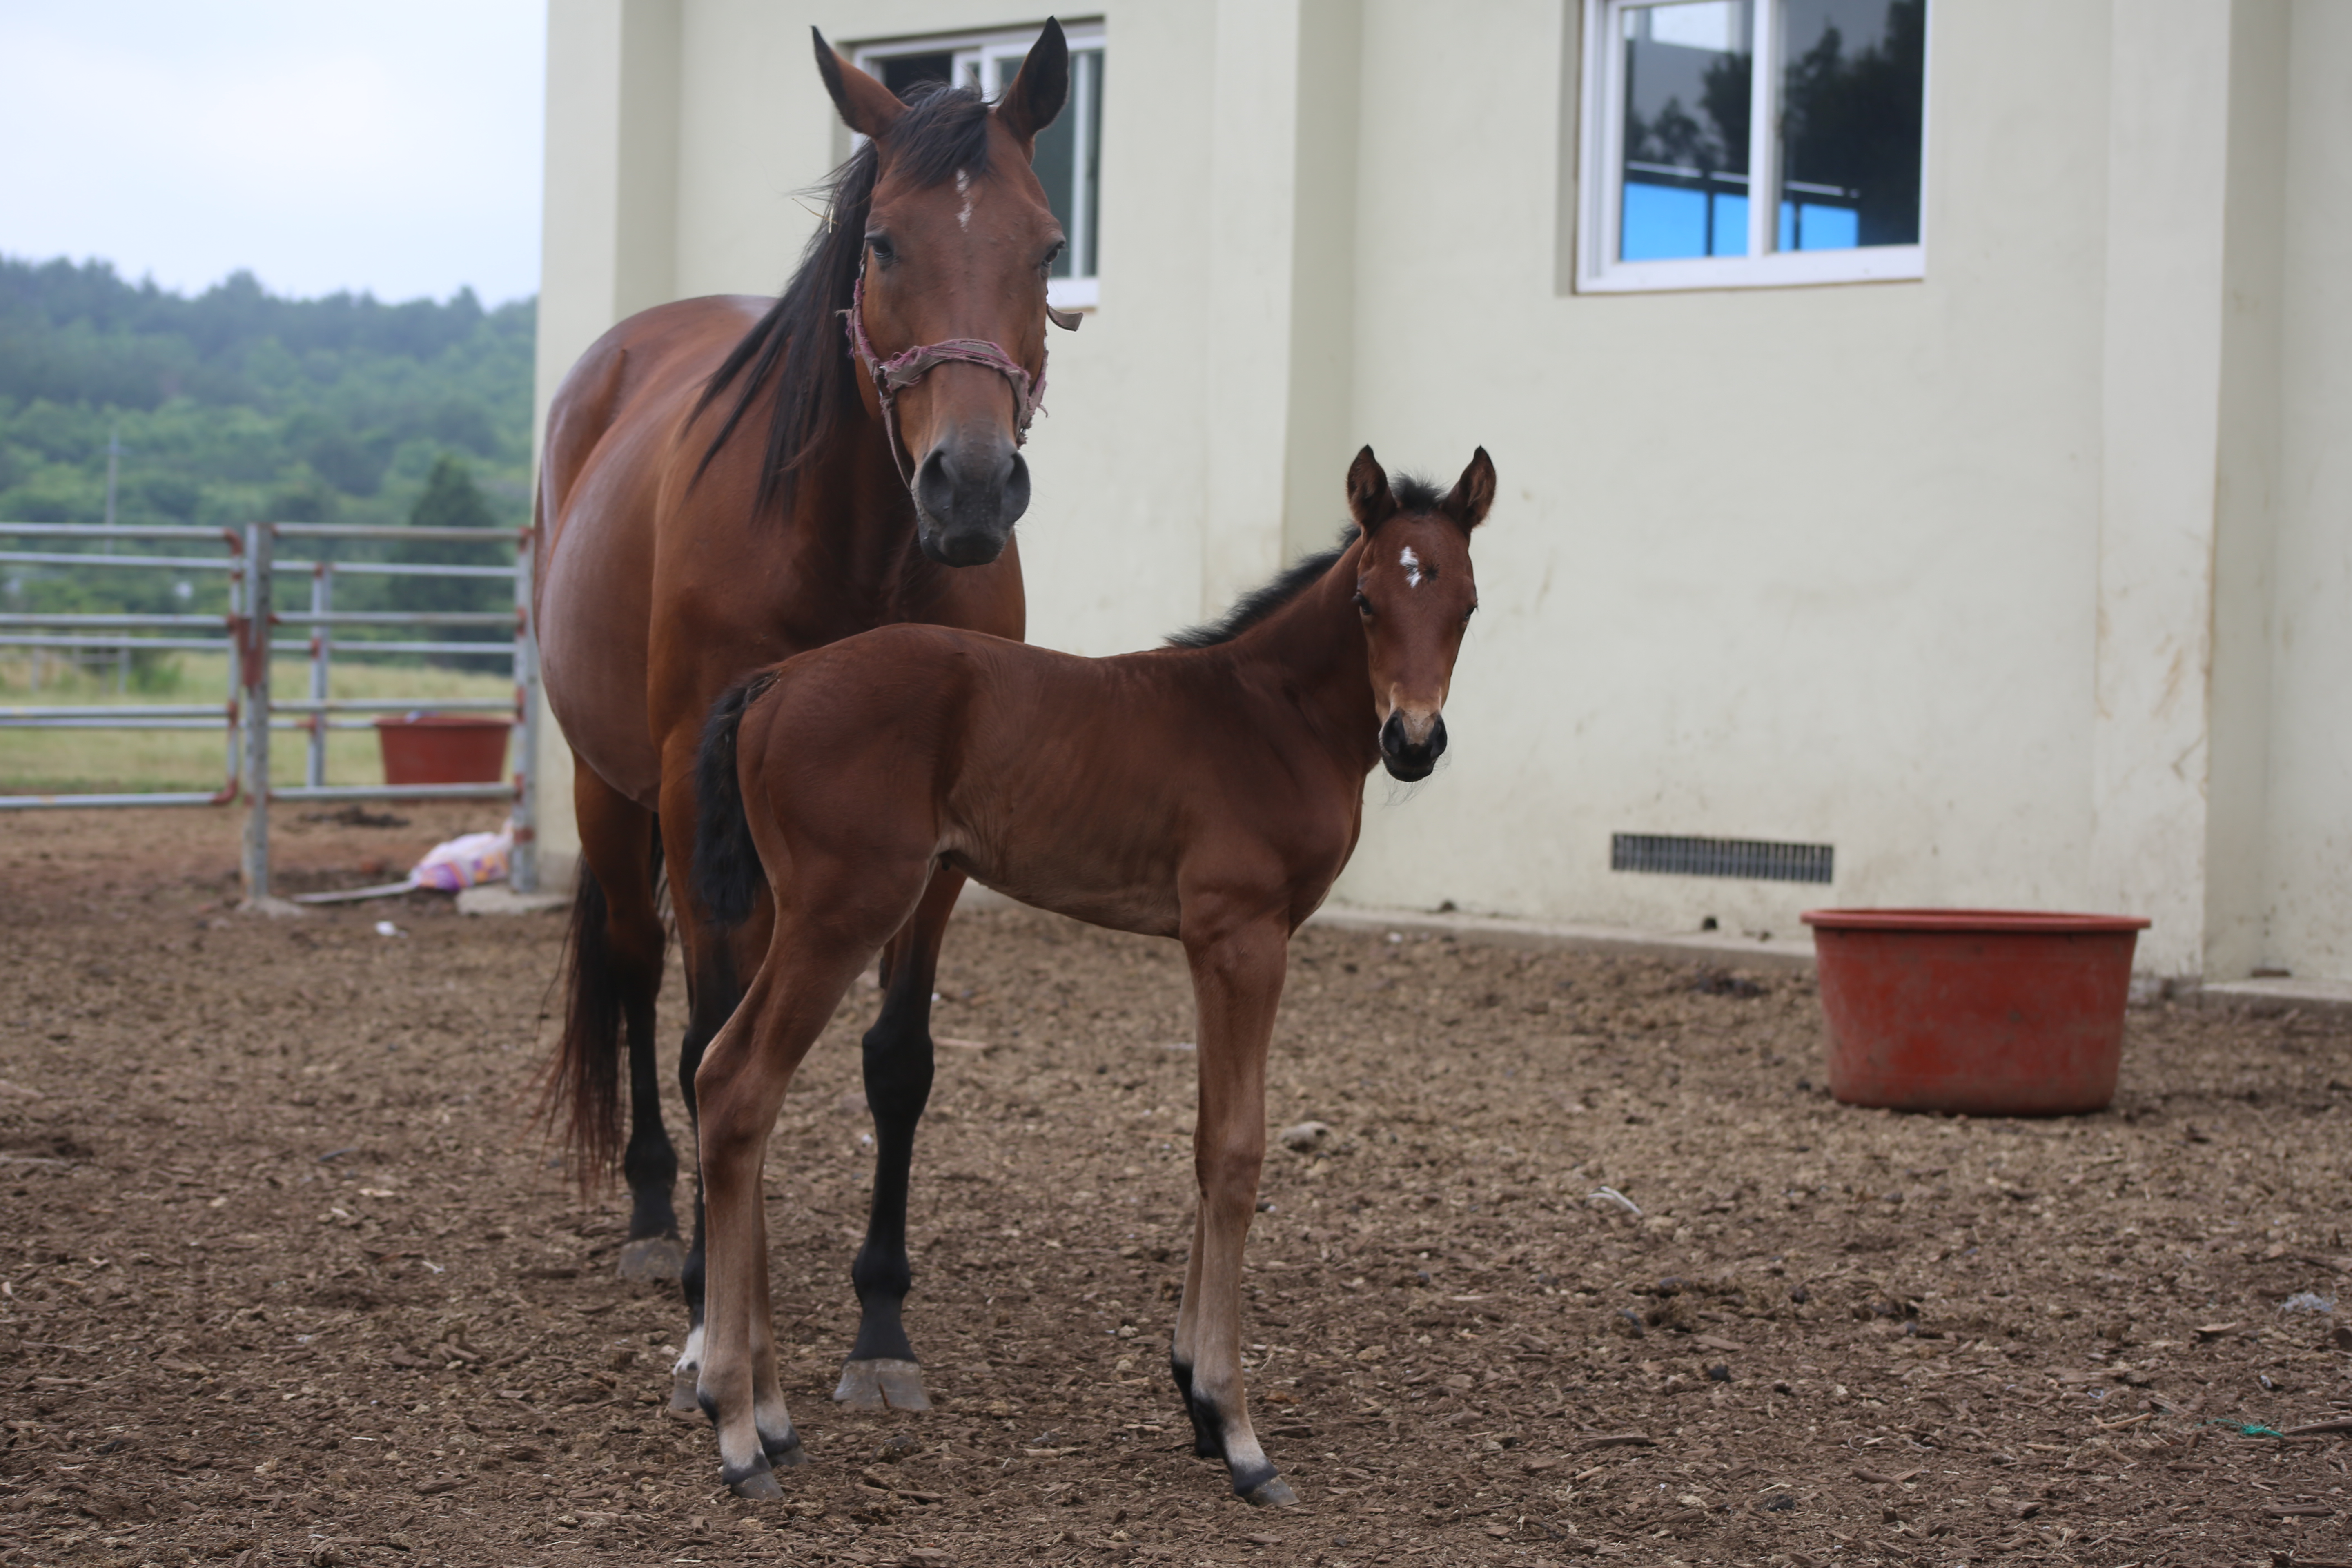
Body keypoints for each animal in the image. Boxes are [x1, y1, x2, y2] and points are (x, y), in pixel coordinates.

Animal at [534, 18, 1077, 1420]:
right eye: (882, 242)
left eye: (1049, 245)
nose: (972, 487)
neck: (850, 549)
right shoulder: (690, 793)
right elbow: (704, 1037)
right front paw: (705, 1321)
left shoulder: (940, 841)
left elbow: (898, 1061)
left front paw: (880, 1328)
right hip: (615, 793)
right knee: (639, 980)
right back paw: (657, 1226)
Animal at [686, 446, 1486, 1504]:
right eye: (1364, 600)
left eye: (1466, 603)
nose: (1414, 741)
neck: (1271, 714)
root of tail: (775, 682)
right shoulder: (1242, 934)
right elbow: (1238, 1153)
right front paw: (1238, 1431)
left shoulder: (1213, 944)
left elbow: (1204, 1143)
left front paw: (1193, 1393)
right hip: (844, 911)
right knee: (739, 1087)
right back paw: (738, 1432)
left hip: (790, 913)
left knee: (731, 1089)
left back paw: (771, 1419)